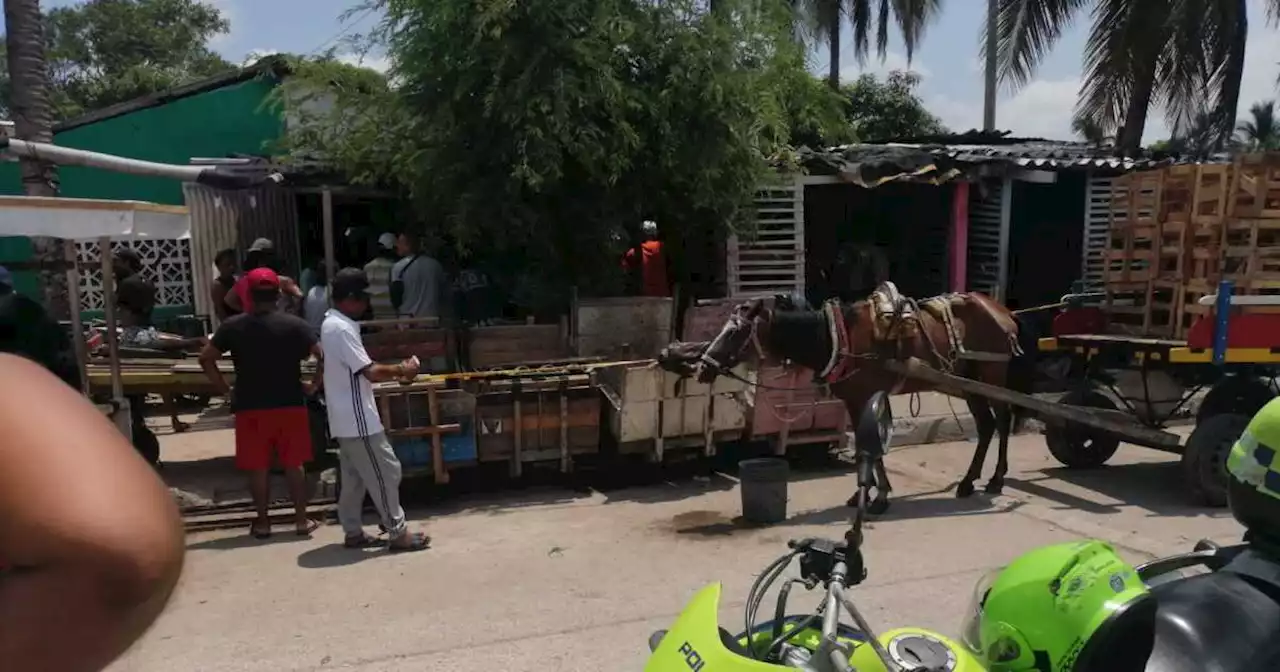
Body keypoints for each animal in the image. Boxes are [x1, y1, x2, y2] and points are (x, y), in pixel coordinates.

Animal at [660, 282, 1039, 514]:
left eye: (736, 332)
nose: (703, 368)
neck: (835, 338)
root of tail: (1004, 311)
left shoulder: (864, 397)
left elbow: (868, 449)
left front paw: (877, 497)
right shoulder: (856, 402)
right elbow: (866, 448)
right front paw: (865, 493)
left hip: (991, 375)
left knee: (1003, 420)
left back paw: (995, 479)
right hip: (969, 382)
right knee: (987, 426)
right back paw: (968, 481)